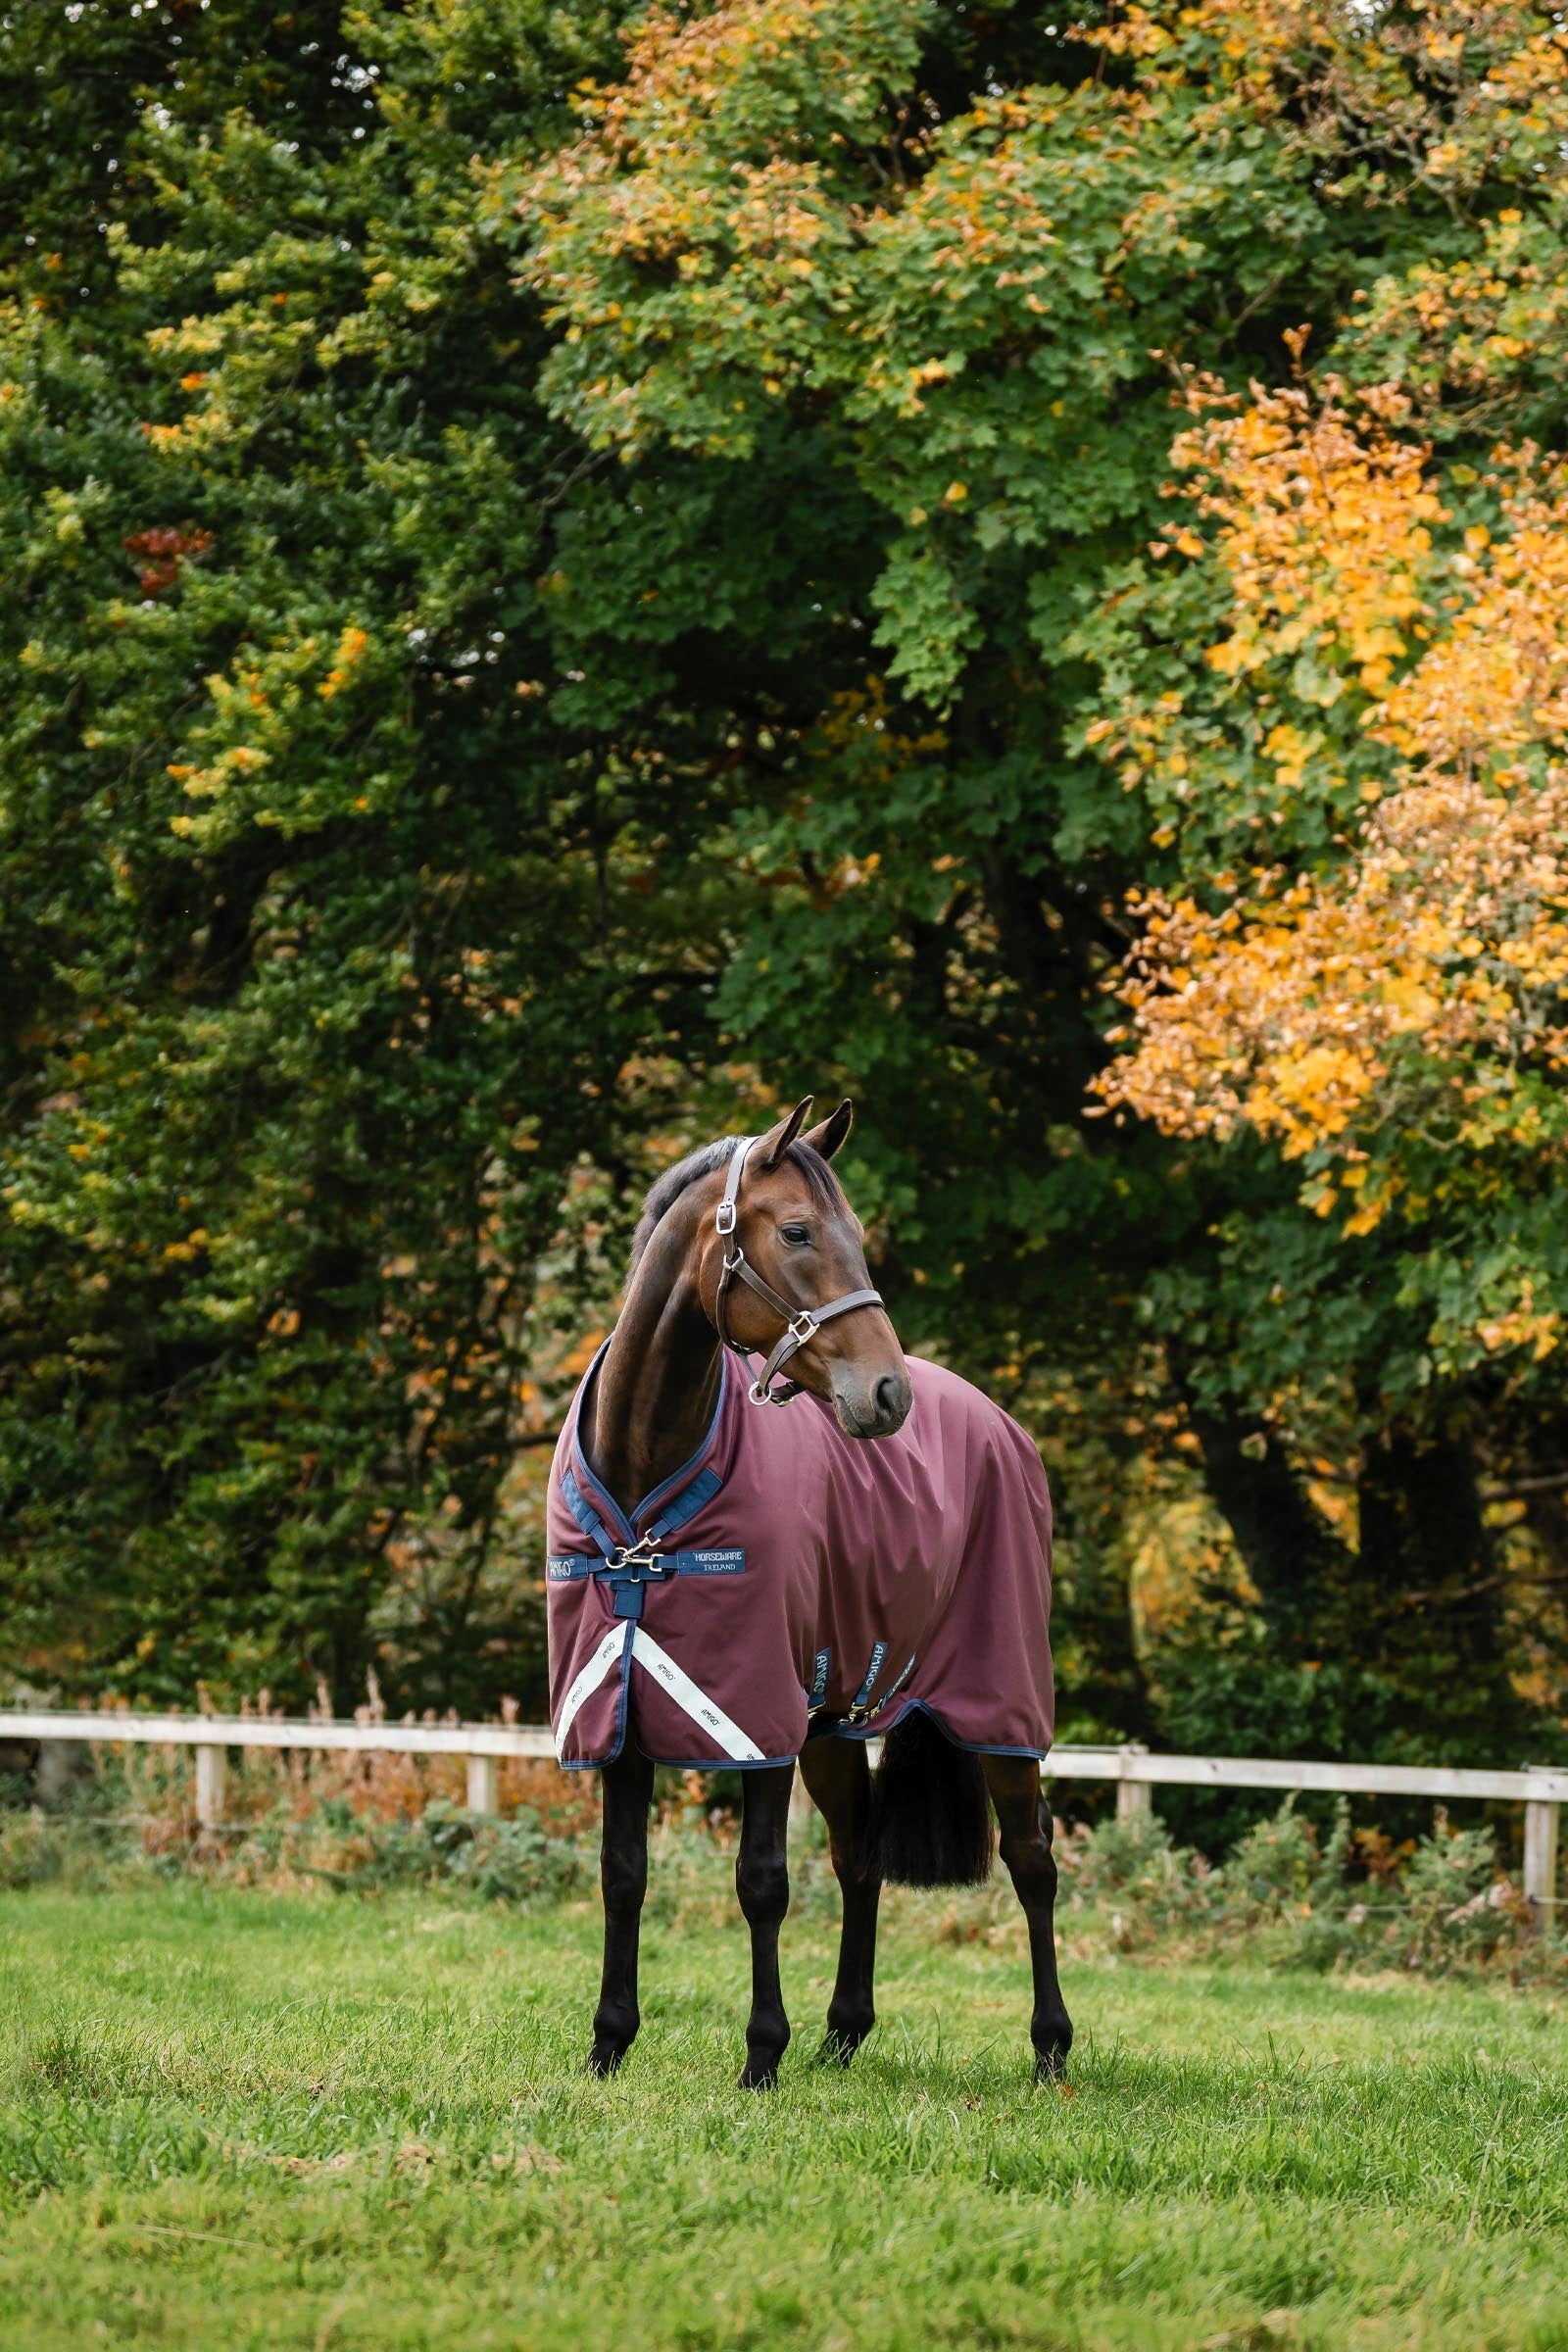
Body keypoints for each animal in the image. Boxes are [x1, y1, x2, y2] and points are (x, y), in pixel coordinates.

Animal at [545, 1095, 1072, 2089]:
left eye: (856, 1233)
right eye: (796, 1231)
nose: (887, 1393)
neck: (645, 1486)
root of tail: (998, 1424)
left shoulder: (754, 1717)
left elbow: (761, 1882)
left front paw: (760, 2055)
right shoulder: (619, 1703)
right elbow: (622, 1873)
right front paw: (608, 2043)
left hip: (1002, 1706)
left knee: (1032, 1859)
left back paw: (1051, 2049)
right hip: (836, 1719)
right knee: (858, 1856)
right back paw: (843, 2032)